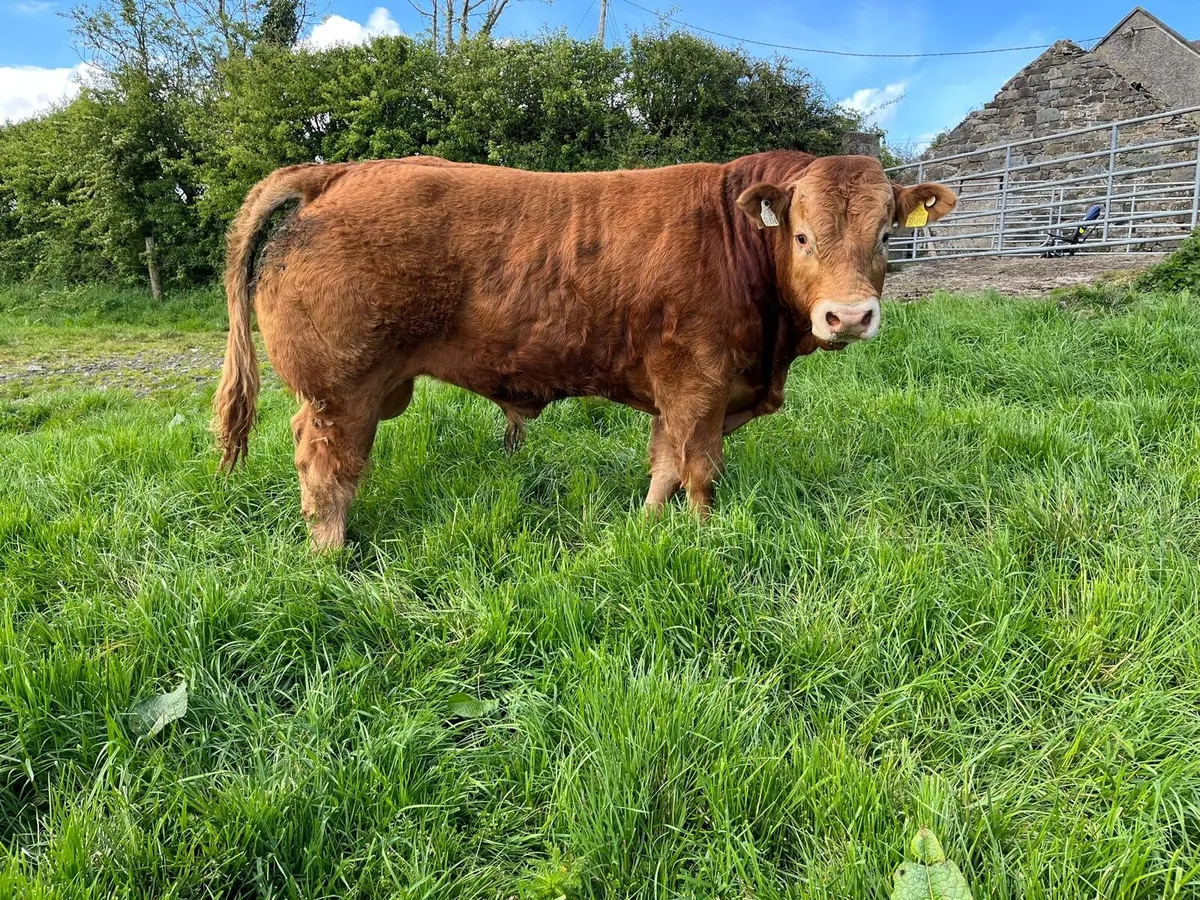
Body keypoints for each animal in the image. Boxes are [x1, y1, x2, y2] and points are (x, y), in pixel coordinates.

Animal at [213, 151, 956, 550]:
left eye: (886, 234)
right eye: (801, 236)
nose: (849, 316)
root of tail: (337, 172)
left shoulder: (676, 391)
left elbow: (664, 465)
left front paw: (650, 526)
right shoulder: (699, 382)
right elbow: (700, 470)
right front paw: (705, 536)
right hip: (342, 390)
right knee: (326, 466)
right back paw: (330, 554)